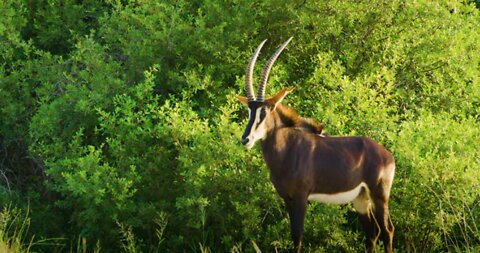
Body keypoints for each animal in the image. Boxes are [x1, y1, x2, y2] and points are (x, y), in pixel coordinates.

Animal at [238, 38, 396, 253]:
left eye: (265, 111)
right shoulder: (287, 198)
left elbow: (297, 236)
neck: (288, 150)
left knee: (387, 231)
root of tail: (387, 155)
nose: (245, 139)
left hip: (379, 195)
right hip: (361, 198)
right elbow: (293, 235)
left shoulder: (301, 197)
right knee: (372, 233)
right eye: (249, 111)